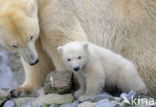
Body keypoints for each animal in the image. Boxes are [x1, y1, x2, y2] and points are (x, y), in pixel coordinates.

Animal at [0, 0, 155, 97]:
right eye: (15, 44)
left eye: (30, 36)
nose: (33, 61)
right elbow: (40, 57)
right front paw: (20, 90)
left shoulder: (54, 10)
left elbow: (66, 42)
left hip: (134, 26)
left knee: (143, 63)